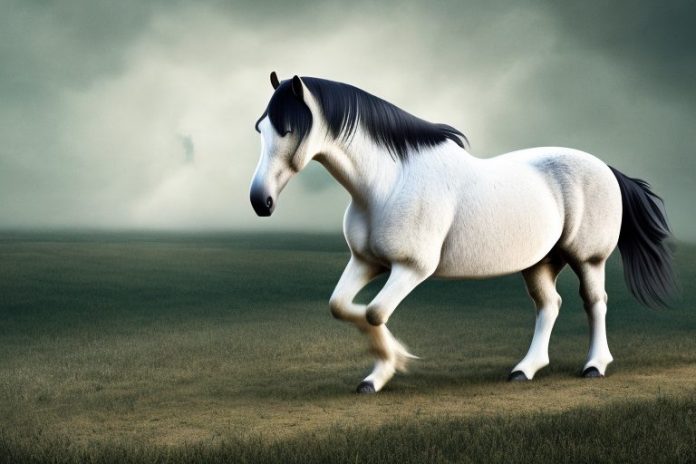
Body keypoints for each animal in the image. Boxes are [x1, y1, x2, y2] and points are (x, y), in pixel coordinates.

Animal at [250, 72, 676, 394]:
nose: (260, 201)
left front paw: (391, 366)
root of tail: (606, 167)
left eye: (288, 129)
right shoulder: (366, 262)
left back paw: (594, 365)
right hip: (539, 261)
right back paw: (525, 369)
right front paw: (384, 367)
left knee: (595, 302)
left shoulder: (411, 268)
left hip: (588, 258)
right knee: (549, 305)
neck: (388, 182)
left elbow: (374, 312)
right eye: (260, 128)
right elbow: (340, 307)